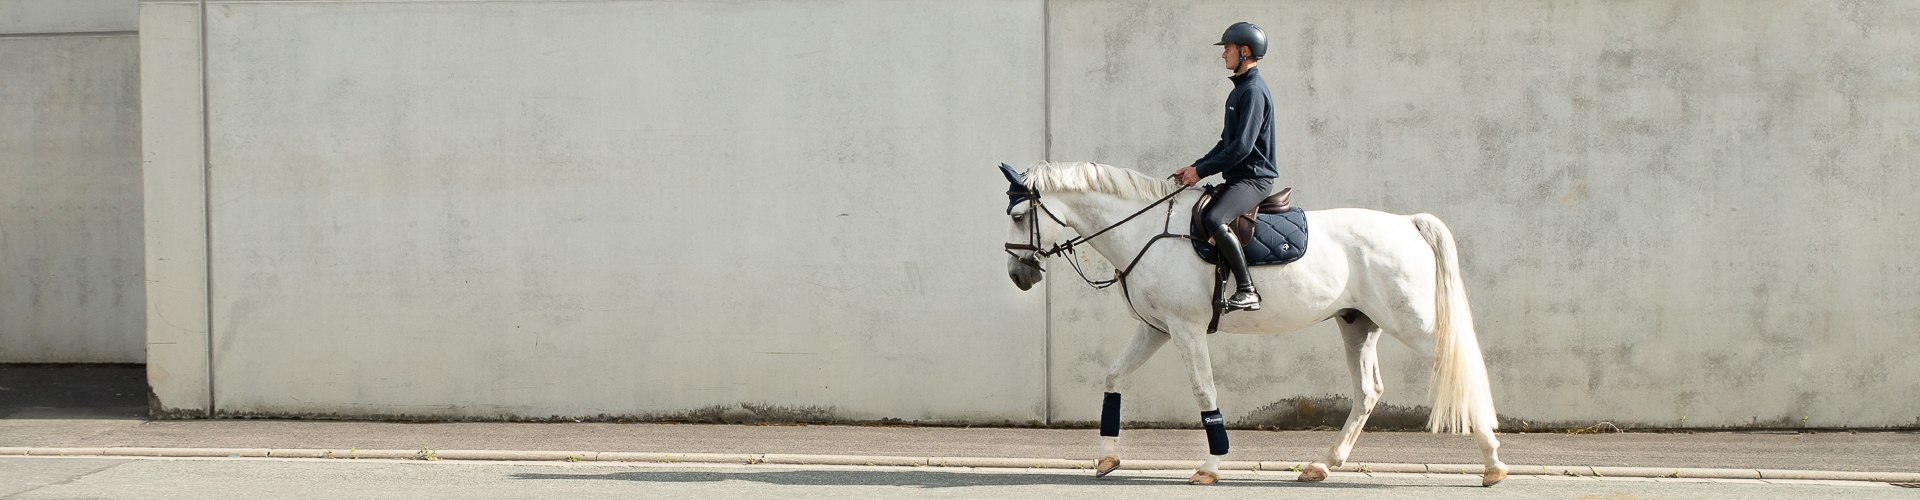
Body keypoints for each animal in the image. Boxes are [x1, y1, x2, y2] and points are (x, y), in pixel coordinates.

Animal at [998, 162, 1505, 486]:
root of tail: (1406, 223)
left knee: (1462, 370)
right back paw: (1323, 465)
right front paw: (1106, 457)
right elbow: (1113, 376)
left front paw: (1210, 467)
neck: (1147, 233)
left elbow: (1205, 393)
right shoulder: (1156, 328)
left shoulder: (1185, 329)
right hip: (1357, 324)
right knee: (1368, 392)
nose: (1019, 275)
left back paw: (1493, 463)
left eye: (1020, 216)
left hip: (1412, 322)